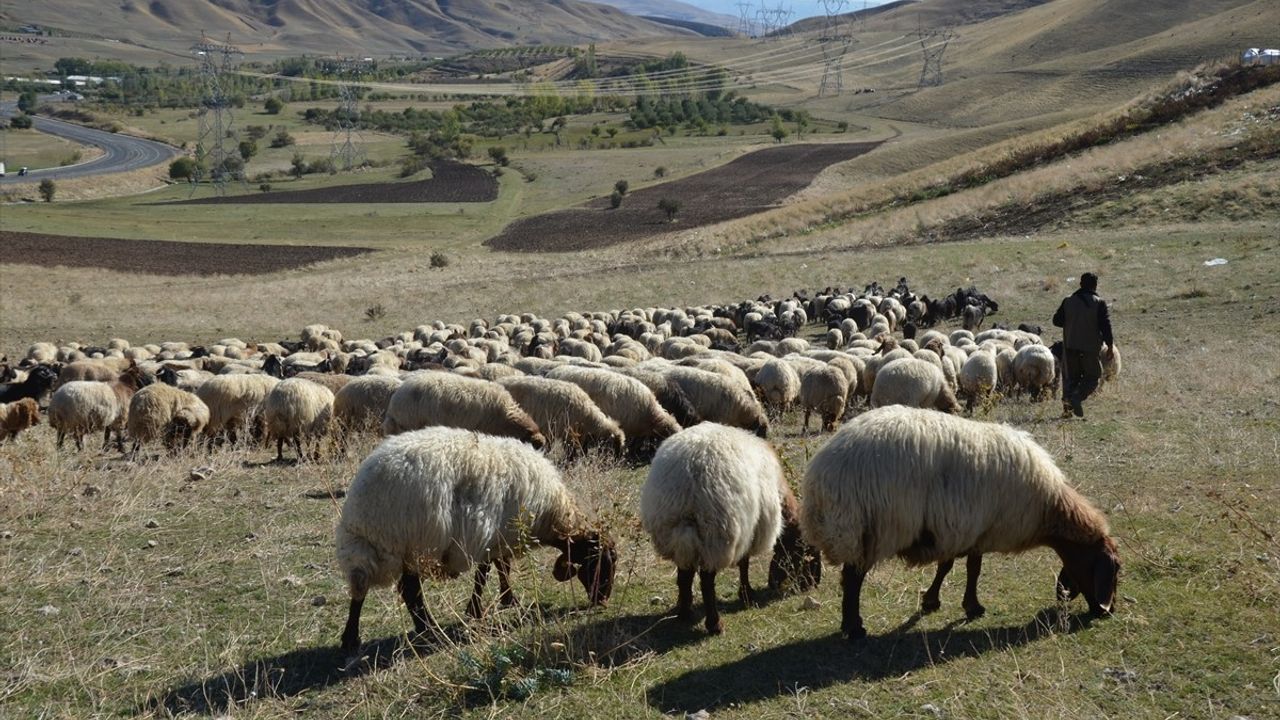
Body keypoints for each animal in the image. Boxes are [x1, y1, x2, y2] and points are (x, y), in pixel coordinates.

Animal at [332, 425, 616, 655]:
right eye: (602, 562)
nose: (602, 601)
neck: (552, 513)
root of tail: (359, 508)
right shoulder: (488, 534)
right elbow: (484, 573)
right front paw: (476, 610)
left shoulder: (500, 535)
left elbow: (502, 567)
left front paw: (507, 599)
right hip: (409, 542)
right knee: (399, 590)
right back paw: (417, 631)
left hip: (389, 549)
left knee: (378, 586)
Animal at [640, 422, 819, 630]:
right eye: (810, 551)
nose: (815, 583)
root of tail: (686, 486)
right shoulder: (750, 529)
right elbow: (744, 563)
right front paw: (747, 593)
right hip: (716, 534)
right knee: (707, 581)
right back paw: (714, 624)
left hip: (675, 533)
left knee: (684, 575)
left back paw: (685, 612)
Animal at [798, 407, 1121, 635]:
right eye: (1115, 569)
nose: (1108, 611)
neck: (1047, 507)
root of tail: (820, 475)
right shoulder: (978, 530)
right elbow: (973, 570)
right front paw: (973, 607)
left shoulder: (956, 528)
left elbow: (948, 566)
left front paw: (932, 601)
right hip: (864, 529)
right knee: (853, 580)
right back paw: (854, 628)